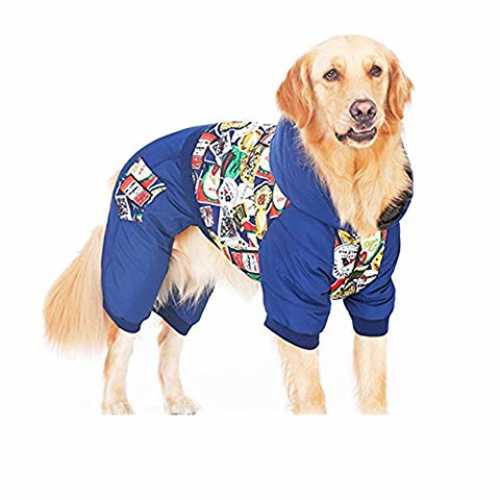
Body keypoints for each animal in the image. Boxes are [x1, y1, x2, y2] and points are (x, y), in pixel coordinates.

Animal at [44, 35, 413, 415]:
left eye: (376, 70)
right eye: (331, 74)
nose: (364, 110)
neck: (352, 181)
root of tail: (130, 160)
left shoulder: (375, 295)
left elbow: (374, 383)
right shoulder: (294, 300)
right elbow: (312, 392)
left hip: (190, 282)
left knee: (168, 339)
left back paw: (175, 400)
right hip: (137, 268)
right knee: (119, 342)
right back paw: (115, 403)